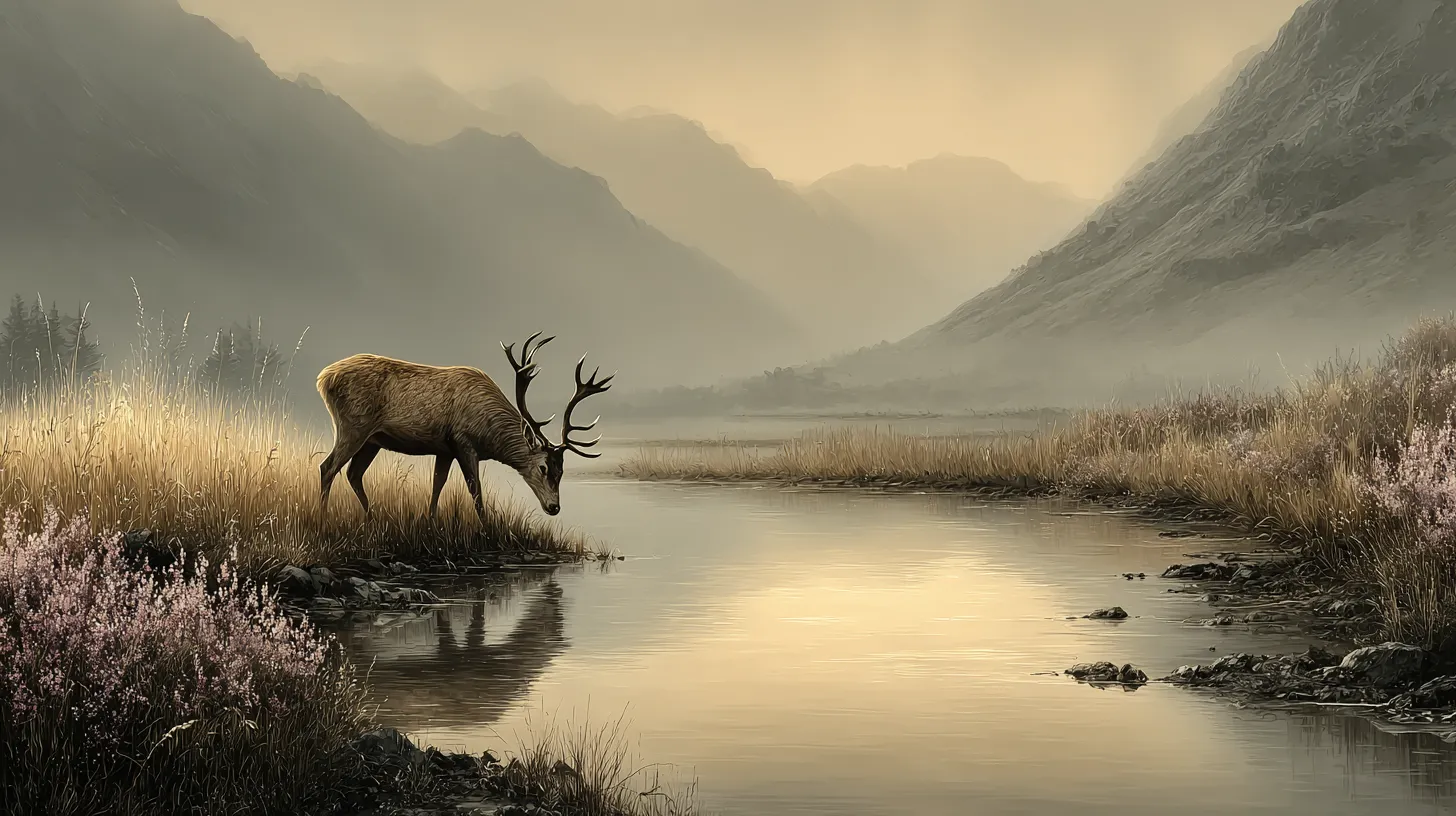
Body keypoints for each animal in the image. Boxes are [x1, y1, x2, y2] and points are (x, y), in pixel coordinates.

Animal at [315, 332, 612, 520]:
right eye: (543, 467)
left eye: (562, 470)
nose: (554, 507)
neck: (489, 431)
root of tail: (323, 377)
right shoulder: (463, 442)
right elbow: (475, 490)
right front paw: (488, 529)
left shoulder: (444, 449)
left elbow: (437, 484)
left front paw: (430, 522)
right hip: (353, 426)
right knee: (327, 467)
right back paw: (324, 519)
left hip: (373, 440)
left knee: (353, 474)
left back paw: (373, 519)